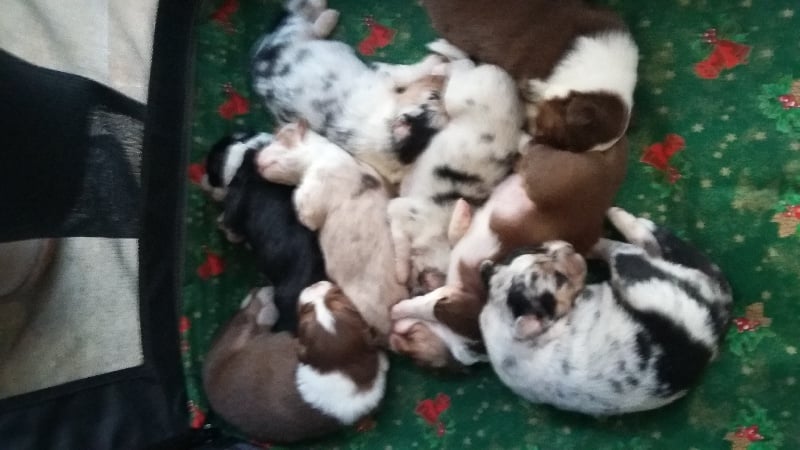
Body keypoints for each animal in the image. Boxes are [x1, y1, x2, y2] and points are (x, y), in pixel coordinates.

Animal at [479, 207, 733, 415]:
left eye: (537, 248)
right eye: (559, 279)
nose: (569, 247)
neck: (503, 316)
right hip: (634, 270)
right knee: (639, 245)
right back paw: (616, 219)